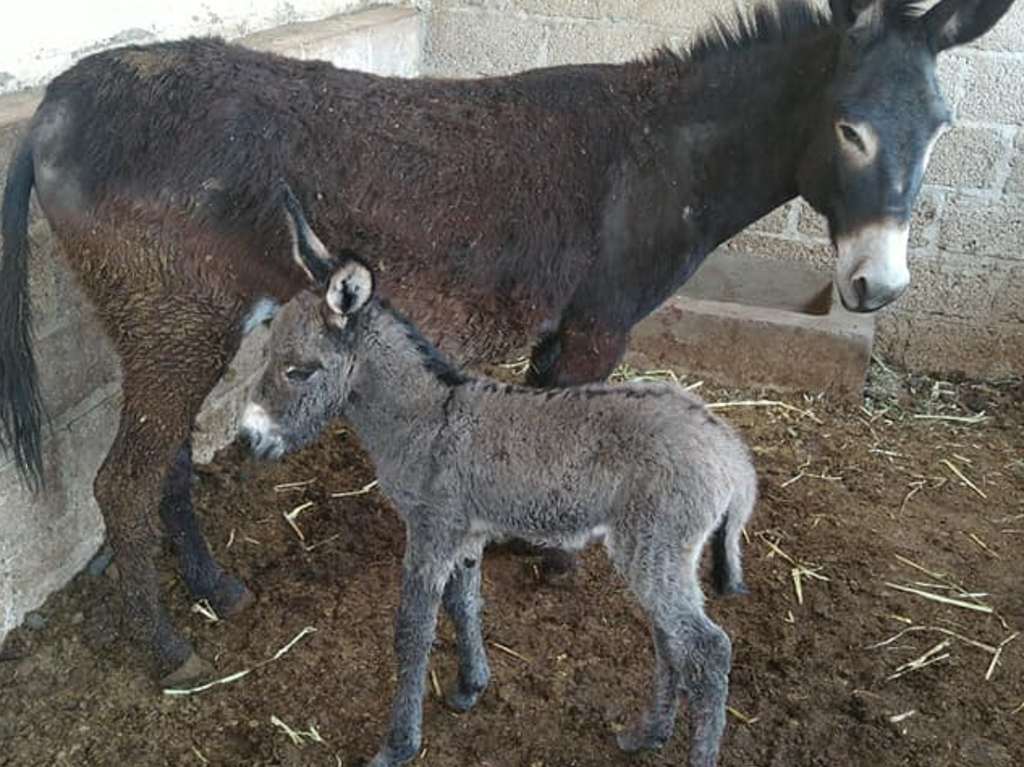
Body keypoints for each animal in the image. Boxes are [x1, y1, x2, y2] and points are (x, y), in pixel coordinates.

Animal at [243, 192, 757, 765]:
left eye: (299, 370)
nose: (250, 439)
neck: (429, 416)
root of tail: (731, 452)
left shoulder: (431, 529)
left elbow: (412, 630)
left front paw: (399, 744)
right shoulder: (466, 534)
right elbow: (464, 604)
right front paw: (470, 686)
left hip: (655, 544)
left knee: (708, 650)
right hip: (657, 553)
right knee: (672, 640)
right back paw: (648, 733)